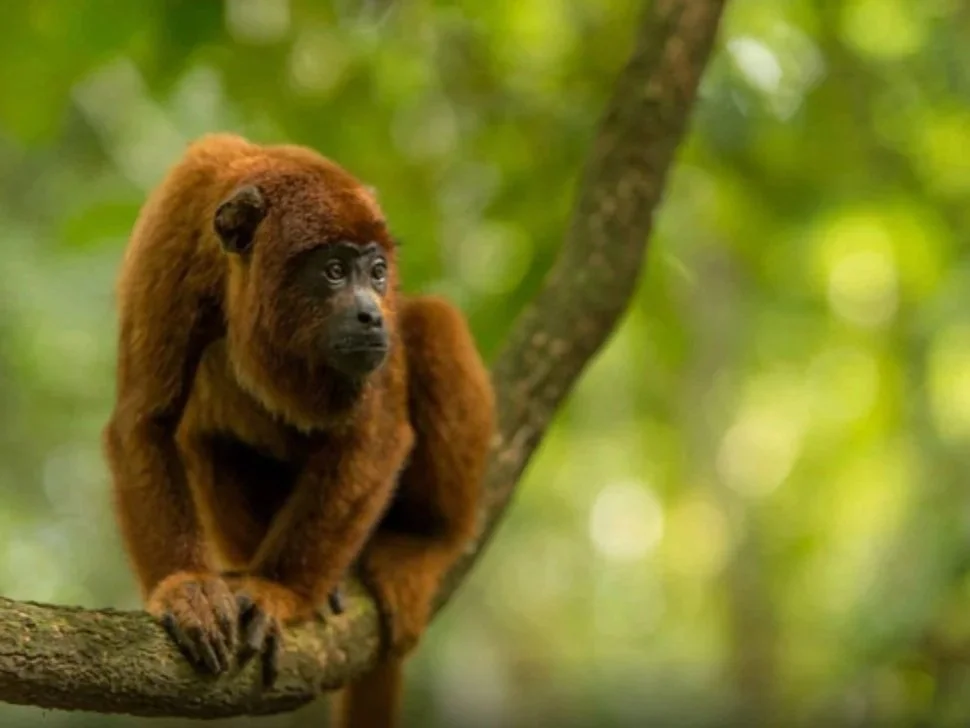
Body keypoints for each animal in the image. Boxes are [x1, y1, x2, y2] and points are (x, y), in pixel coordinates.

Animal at [101, 133, 495, 726]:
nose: (372, 315)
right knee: (201, 431)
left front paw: (275, 590)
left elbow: (375, 435)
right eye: (333, 270)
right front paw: (187, 587)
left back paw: (423, 545)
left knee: (434, 323)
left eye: (377, 272)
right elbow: (145, 419)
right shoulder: (174, 225)